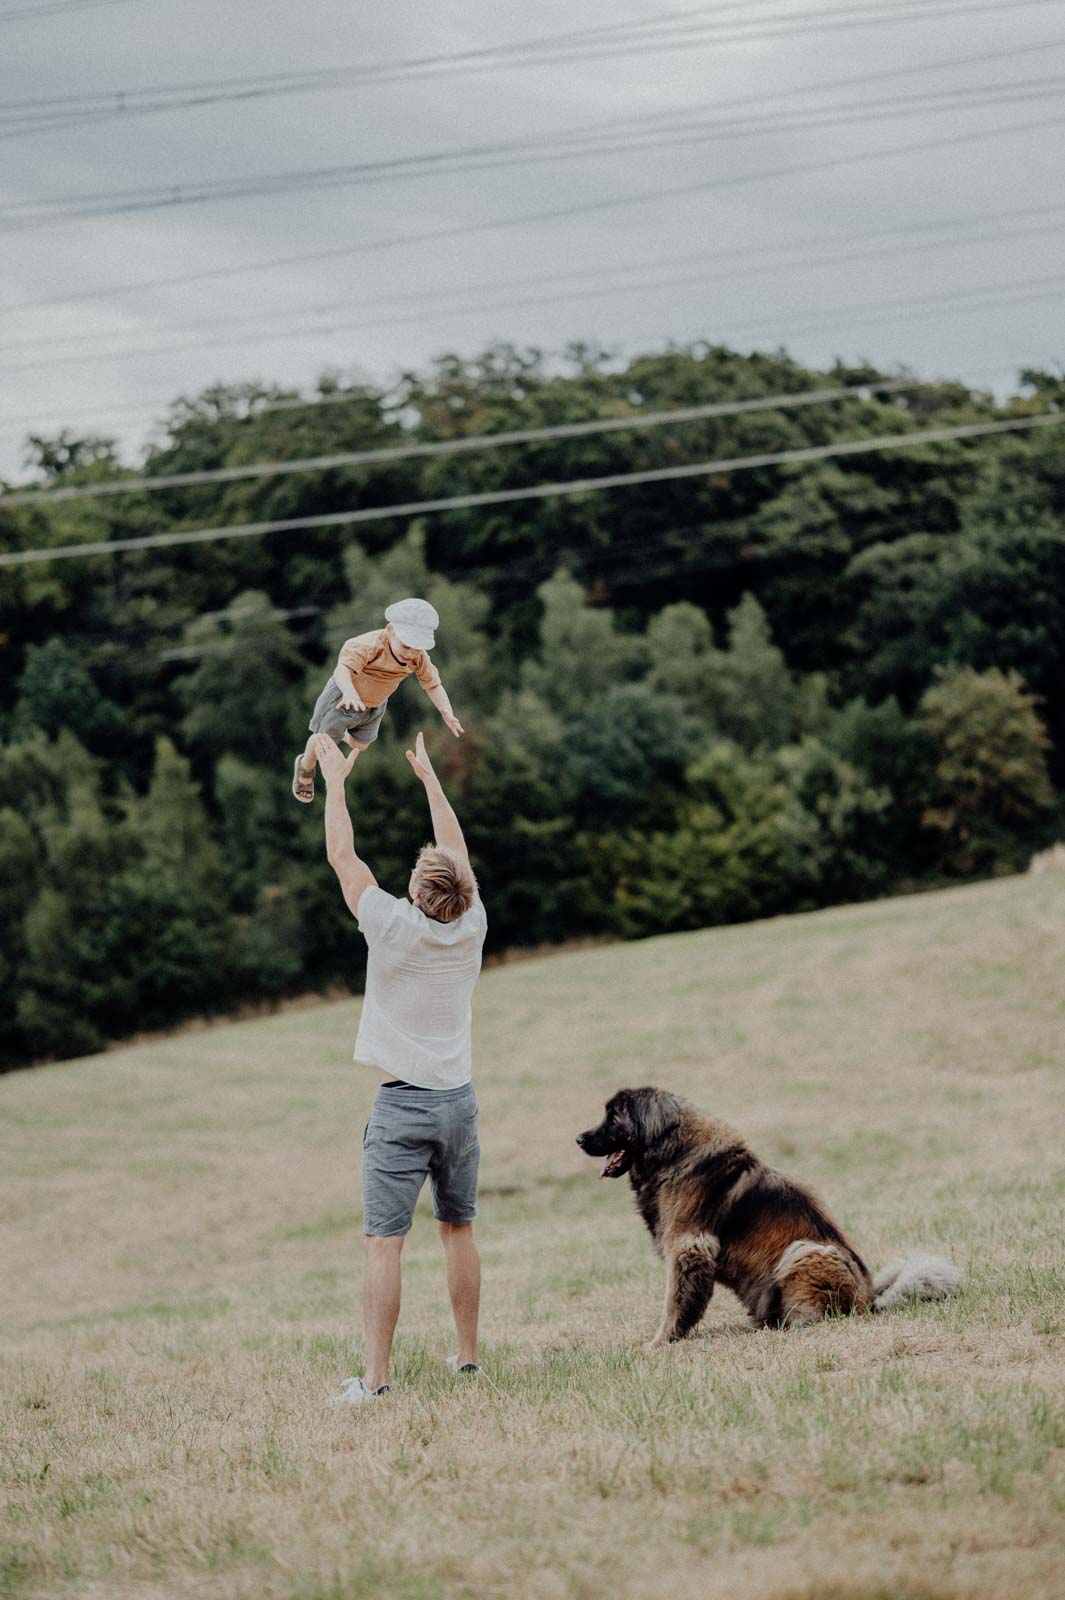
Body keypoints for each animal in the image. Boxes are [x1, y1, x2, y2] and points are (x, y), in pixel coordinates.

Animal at [575, 1094, 959, 1344]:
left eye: (614, 1119)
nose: (578, 1138)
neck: (671, 1153)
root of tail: (869, 1297)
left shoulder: (688, 1248)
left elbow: (675, 1303)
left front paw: (660, 1342)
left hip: (805, 1250)